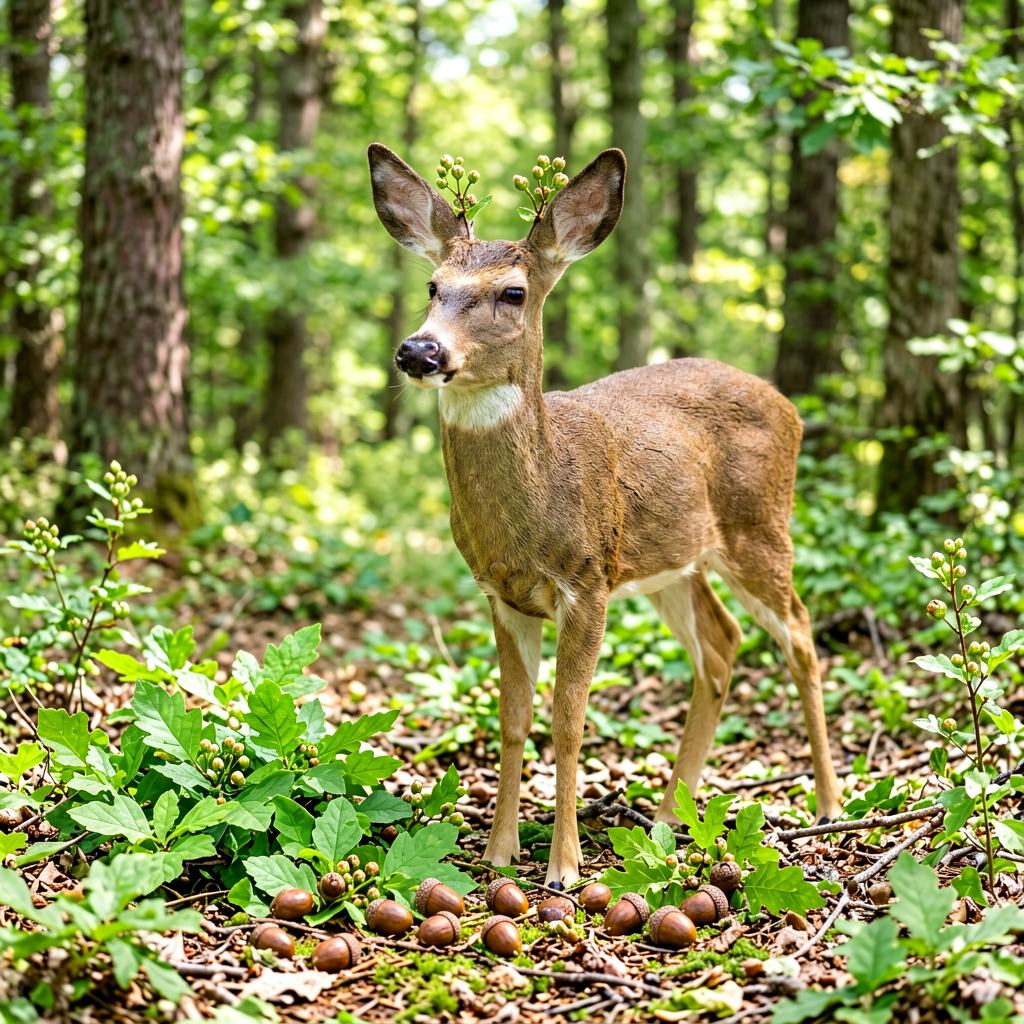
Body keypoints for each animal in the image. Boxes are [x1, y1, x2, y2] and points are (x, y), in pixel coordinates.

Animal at [367, 142, 843, 886]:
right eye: (433, 287)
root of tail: (788, 405)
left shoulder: (586, 582)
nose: (420, 350)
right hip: (672, 563)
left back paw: (826, 804)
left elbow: (568, 721)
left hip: (760, 528)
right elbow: (512, 718)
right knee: (721, 645)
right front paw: (500, 852)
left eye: (513, 292)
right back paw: (670, 817)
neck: (535, 508)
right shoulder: (500, 595)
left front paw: (564, 868)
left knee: (799, 631)